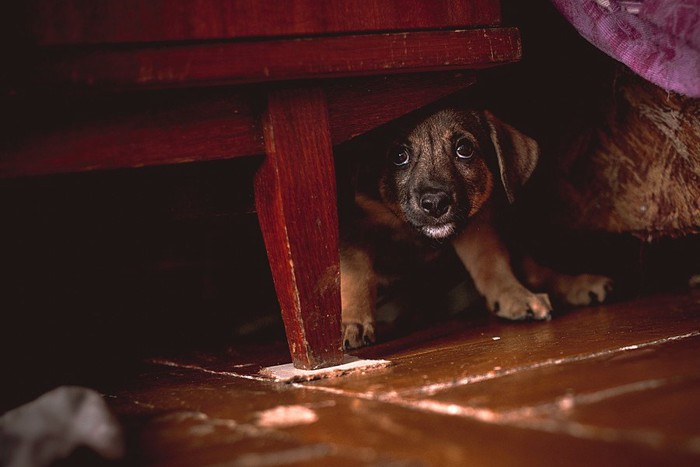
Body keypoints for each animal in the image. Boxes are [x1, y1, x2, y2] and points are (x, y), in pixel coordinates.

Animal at [340, 109, 612, 350]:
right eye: (399, 156)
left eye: (464, 150)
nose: (435, 204)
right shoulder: (355, 228)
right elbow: (357, 276)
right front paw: (353, 322)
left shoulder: (476, 227)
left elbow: (491, 264)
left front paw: (513, 295)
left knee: (536, 270)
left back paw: (578, 285)